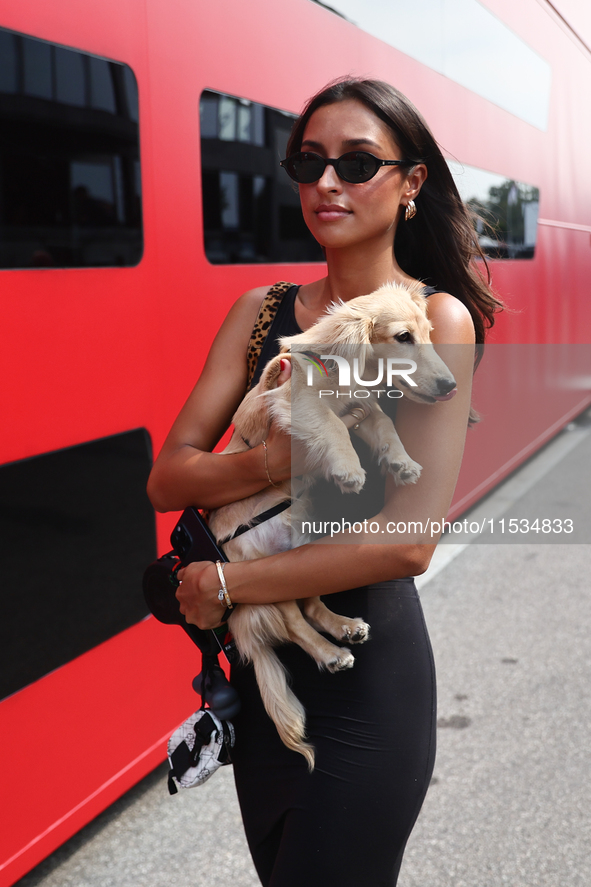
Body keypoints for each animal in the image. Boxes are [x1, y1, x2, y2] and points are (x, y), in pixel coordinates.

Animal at [208, 280, 458, 768]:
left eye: (429, 333)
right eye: (403, 338)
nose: (450, 386)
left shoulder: (366, 409)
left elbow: (384, 429)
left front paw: (402, 463)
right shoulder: (298, 406)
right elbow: (332, 427)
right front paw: (347, 469)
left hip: (303, 546)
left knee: (310, 602)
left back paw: (344, 625)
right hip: (260, 571)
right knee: (293, 623)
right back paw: (330, 652)